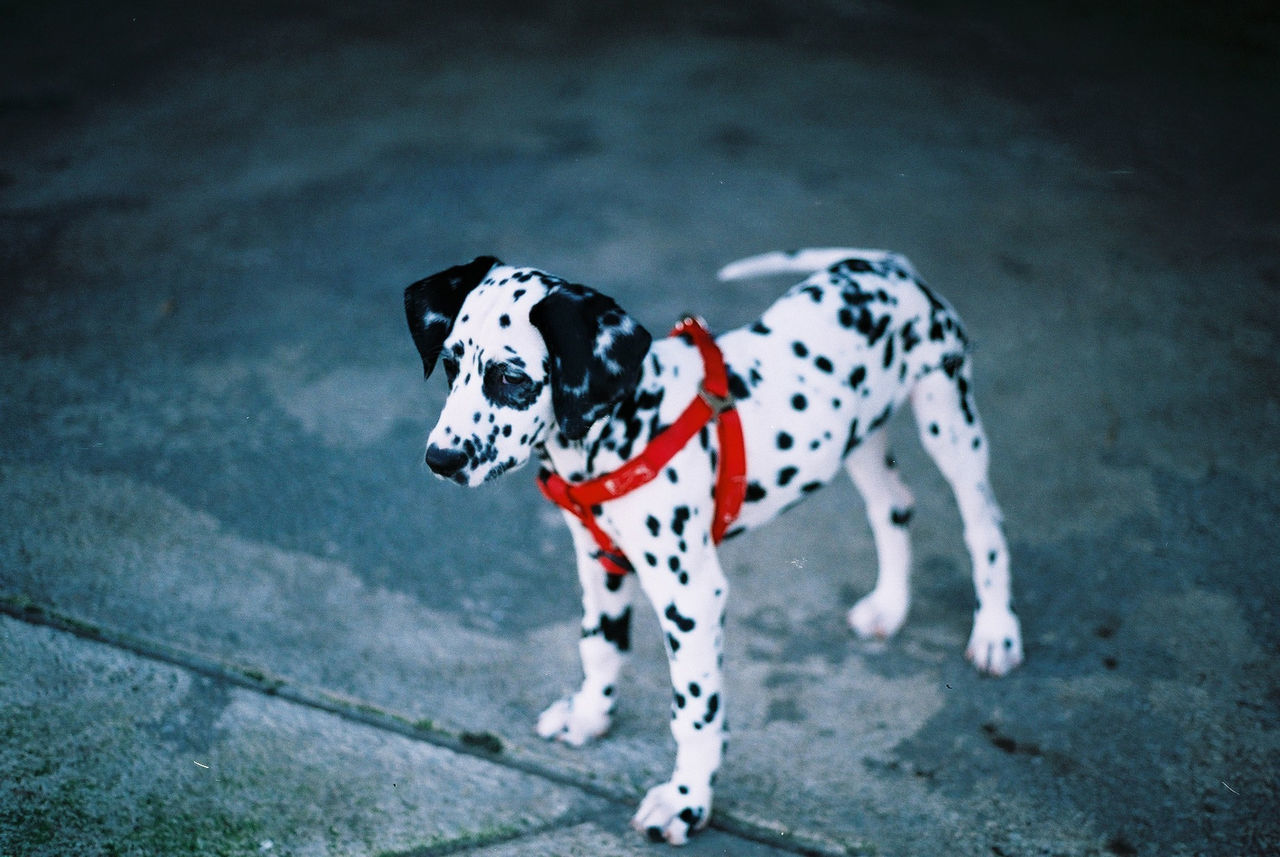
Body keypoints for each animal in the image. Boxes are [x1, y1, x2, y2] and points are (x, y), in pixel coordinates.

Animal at [404, 251, 1024, 849]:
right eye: (452, 365)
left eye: (511, 377)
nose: (439, 460)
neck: (629, 426)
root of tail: (891, 266)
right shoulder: (599, 563)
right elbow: (599, 646)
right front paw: (589, 715)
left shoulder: (690, 596)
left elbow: (695, 713)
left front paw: (685, 803)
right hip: (860, 438)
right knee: (893, 506)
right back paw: (889, 608)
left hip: (949, 417)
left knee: (984, 526)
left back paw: (995, 632)